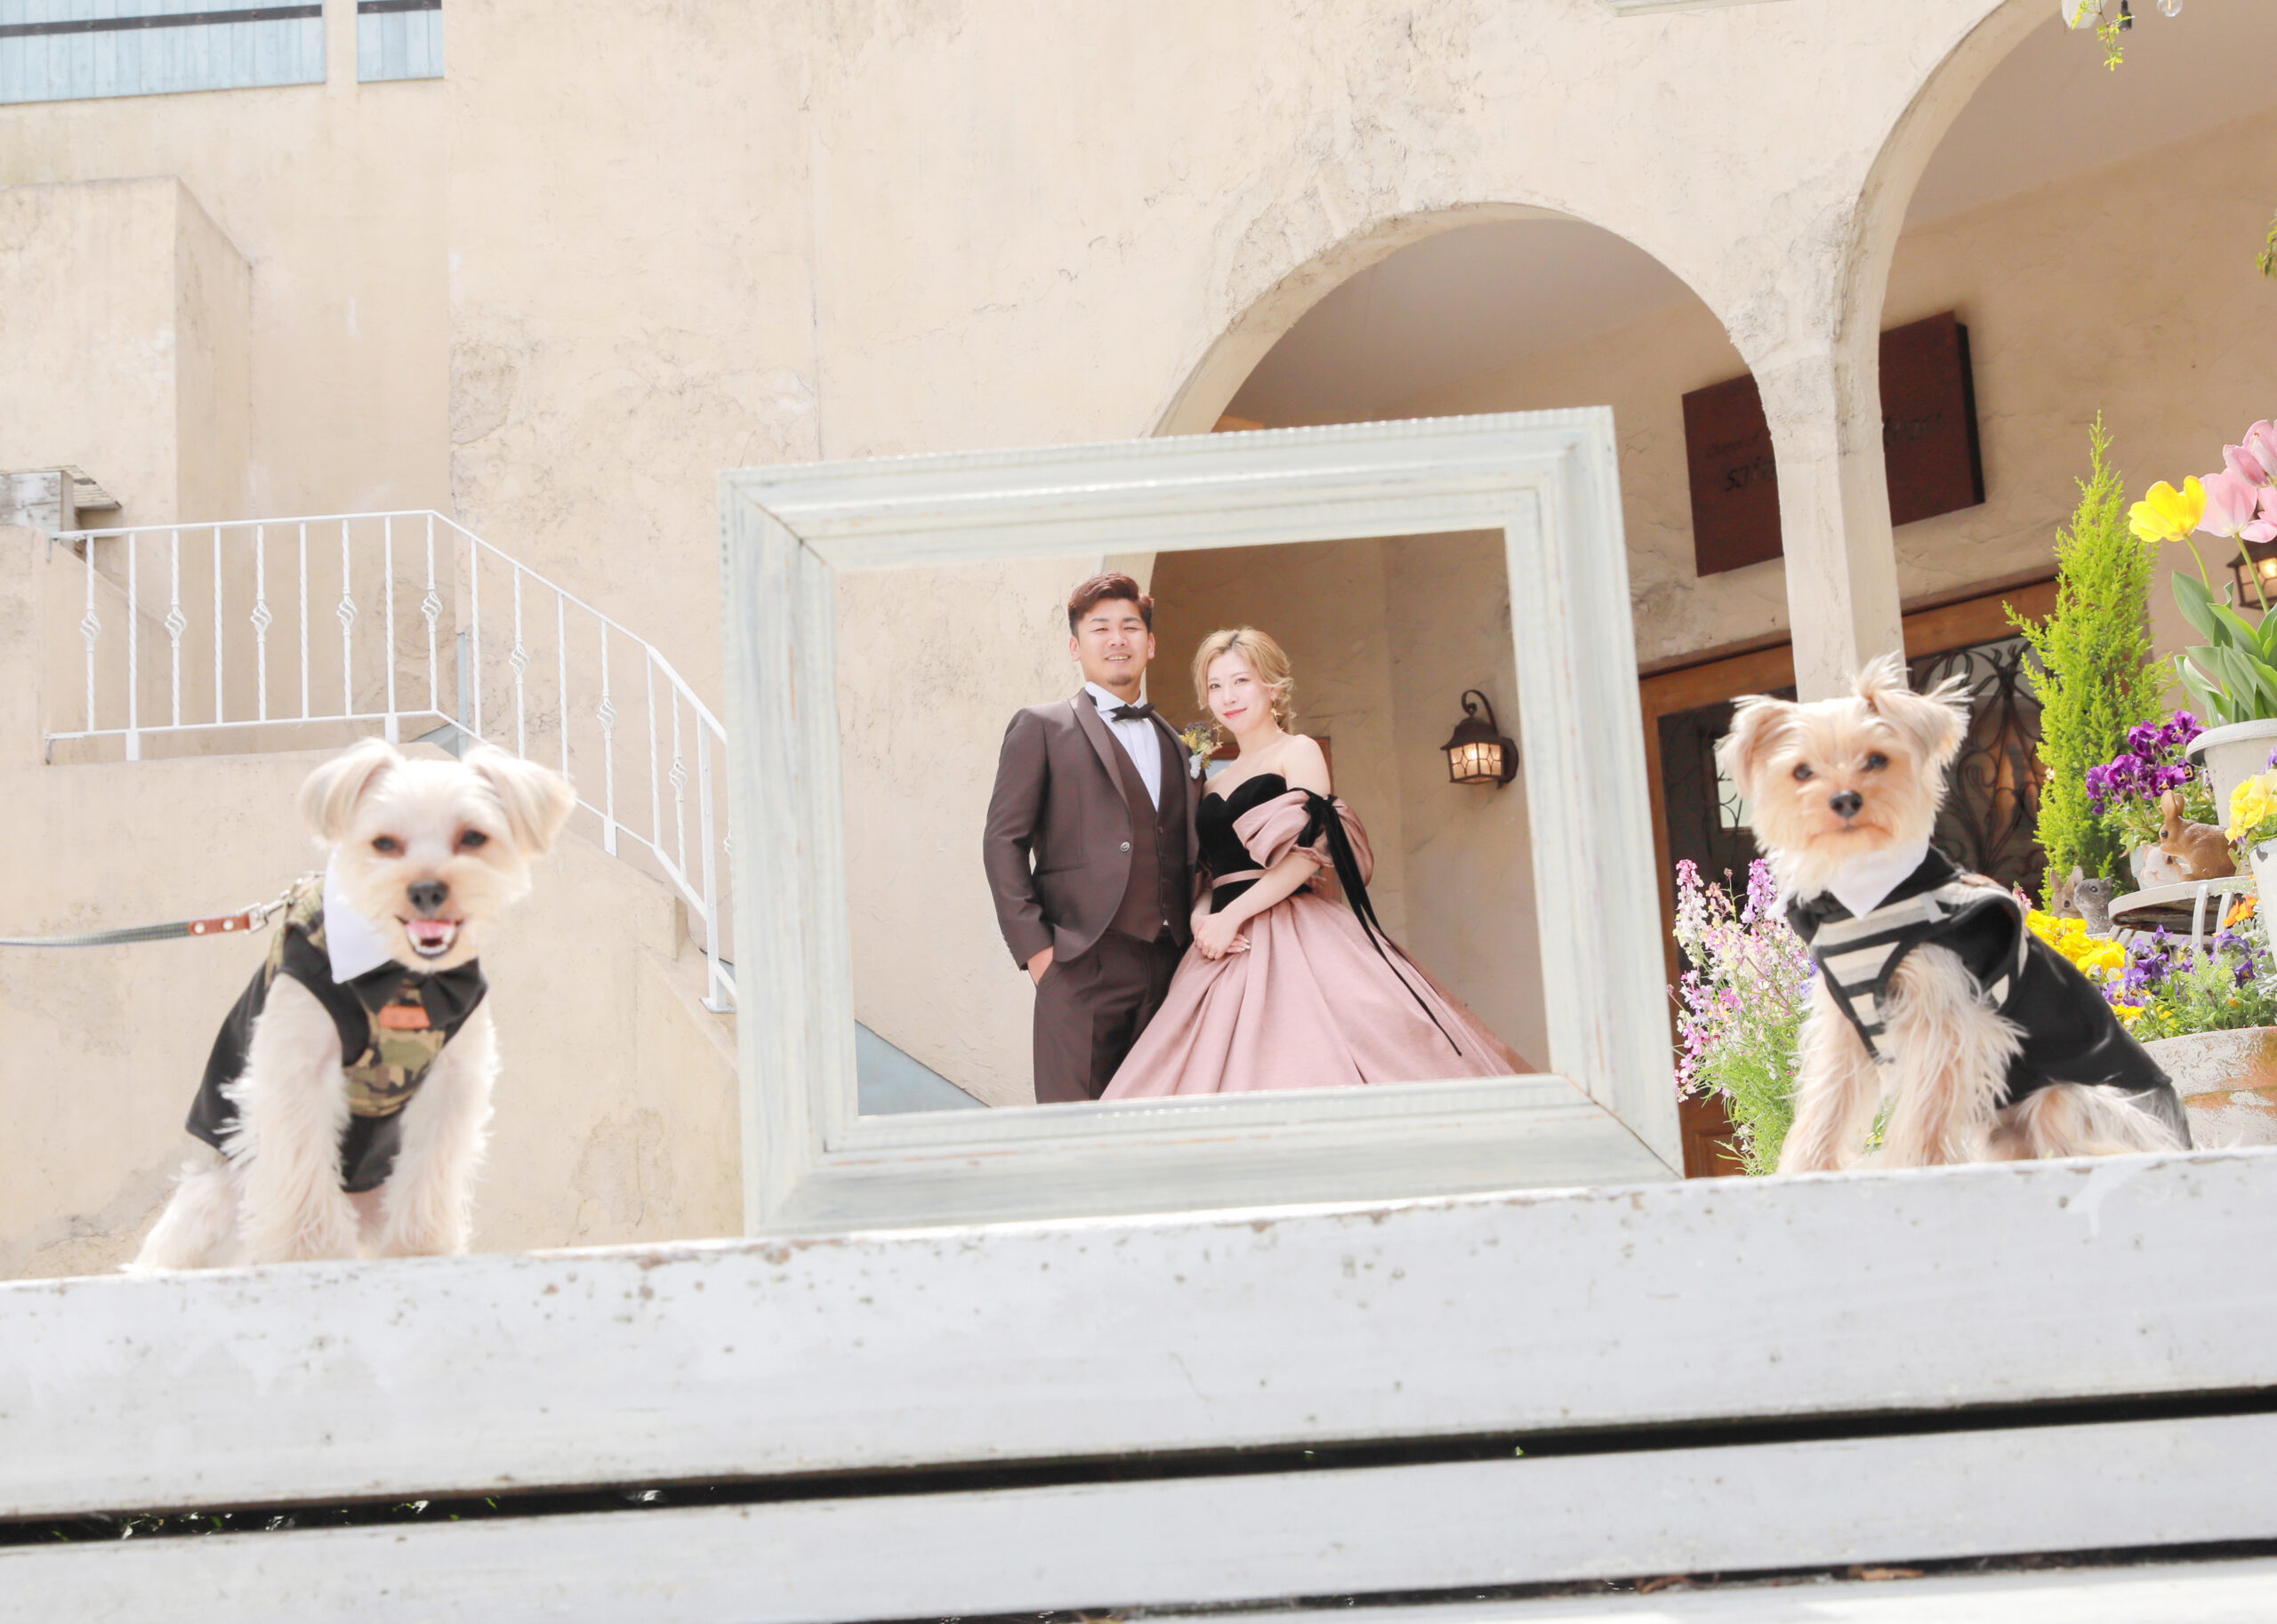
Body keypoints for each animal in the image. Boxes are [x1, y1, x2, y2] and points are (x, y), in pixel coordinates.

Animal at [130, 739, 574, 1271]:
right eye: (384, 844)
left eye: (473, 837)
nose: (427, 889)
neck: (400, 975)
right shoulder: (299, 1070)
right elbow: (302, 1169)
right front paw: (311, 1253)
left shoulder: (453, 1079)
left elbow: (431, 1169)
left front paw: (419, 1247)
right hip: (219, 1196)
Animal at [1718, 654, 2189, 1171]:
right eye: (1801, 772)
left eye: (1877, 759)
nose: (1844, 799)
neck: (1866, 895)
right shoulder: (1847, 1027)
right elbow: (1828, 1103)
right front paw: (1807, 1169)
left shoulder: (1948, 1015)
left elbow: (1928, 1106)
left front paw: (1916, 1164)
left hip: (2068, 1094)